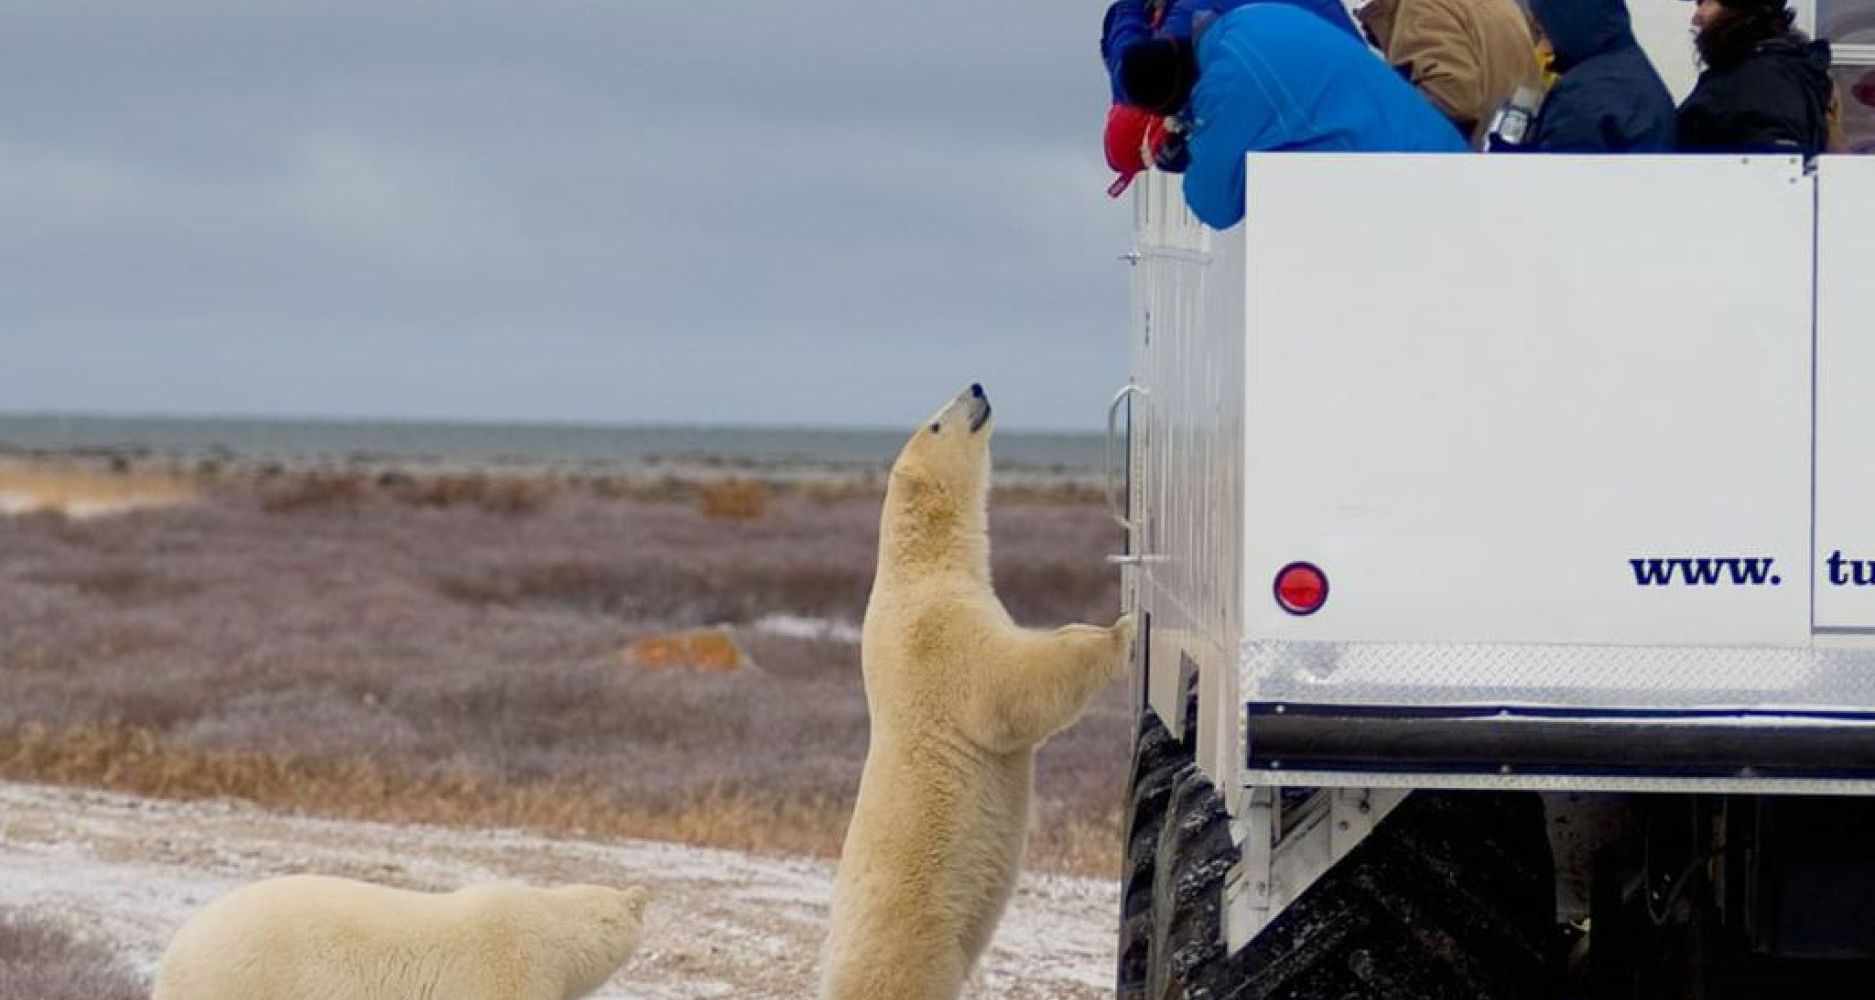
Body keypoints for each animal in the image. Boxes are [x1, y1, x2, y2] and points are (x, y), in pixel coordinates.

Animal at [819, 384, 1134, 1000]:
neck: (916, 565)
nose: (977, 387)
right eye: (938, 423)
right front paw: (1120, 630)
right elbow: (1004, 689)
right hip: (916, 930)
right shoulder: (937, 627)